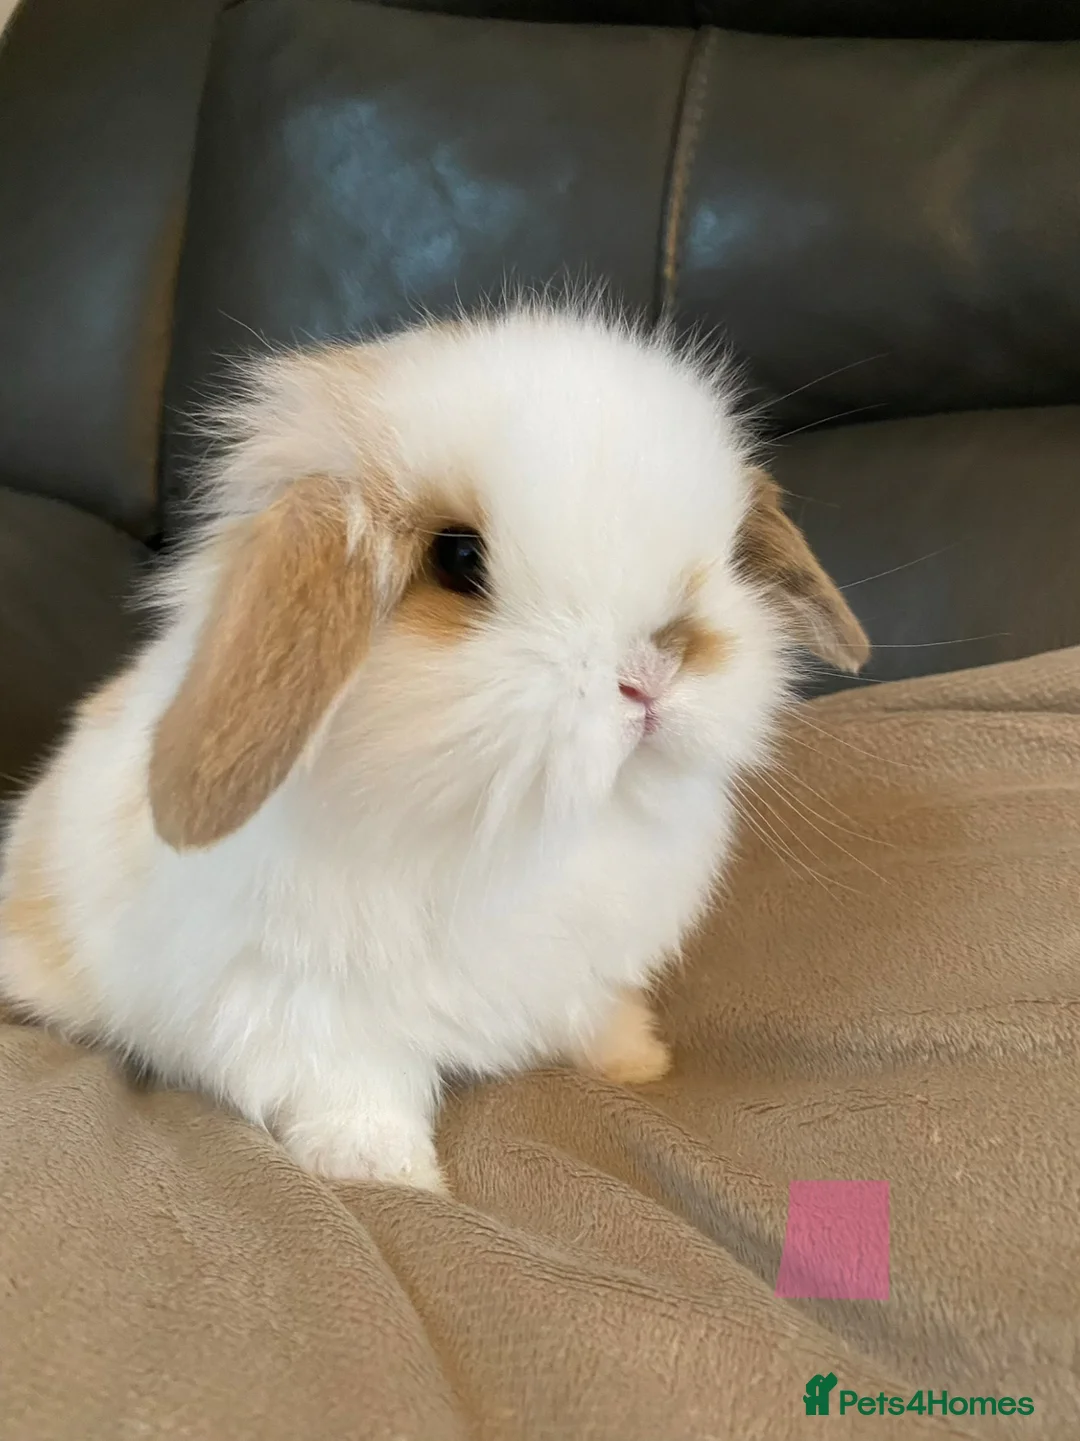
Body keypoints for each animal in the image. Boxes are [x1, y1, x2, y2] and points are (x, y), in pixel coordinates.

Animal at [0, 303, 868, 1191]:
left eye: (729, 552)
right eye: (458, 557)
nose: (657, 668)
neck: (522, 825)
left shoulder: (585, 970)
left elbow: (590, 1011)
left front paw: (635, 1058)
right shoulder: (297, 1002)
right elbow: (350, 1085)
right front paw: (383, 1171)